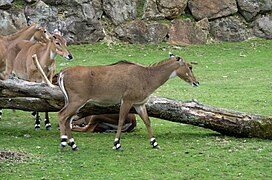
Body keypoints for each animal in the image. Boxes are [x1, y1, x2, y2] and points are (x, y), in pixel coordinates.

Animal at [57, 52, 199, 150]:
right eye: (190, 66)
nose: (196, 82)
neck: (147, 76)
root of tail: (63, 73)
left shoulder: (139, 104)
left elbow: (147, 121)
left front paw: (154, 143)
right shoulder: (127, 100)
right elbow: (120, 120)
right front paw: (117, 144)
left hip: (74, 103)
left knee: (68, 119)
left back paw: (73, 145)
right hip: (77, 101)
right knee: (62, 115)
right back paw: (63, 142)